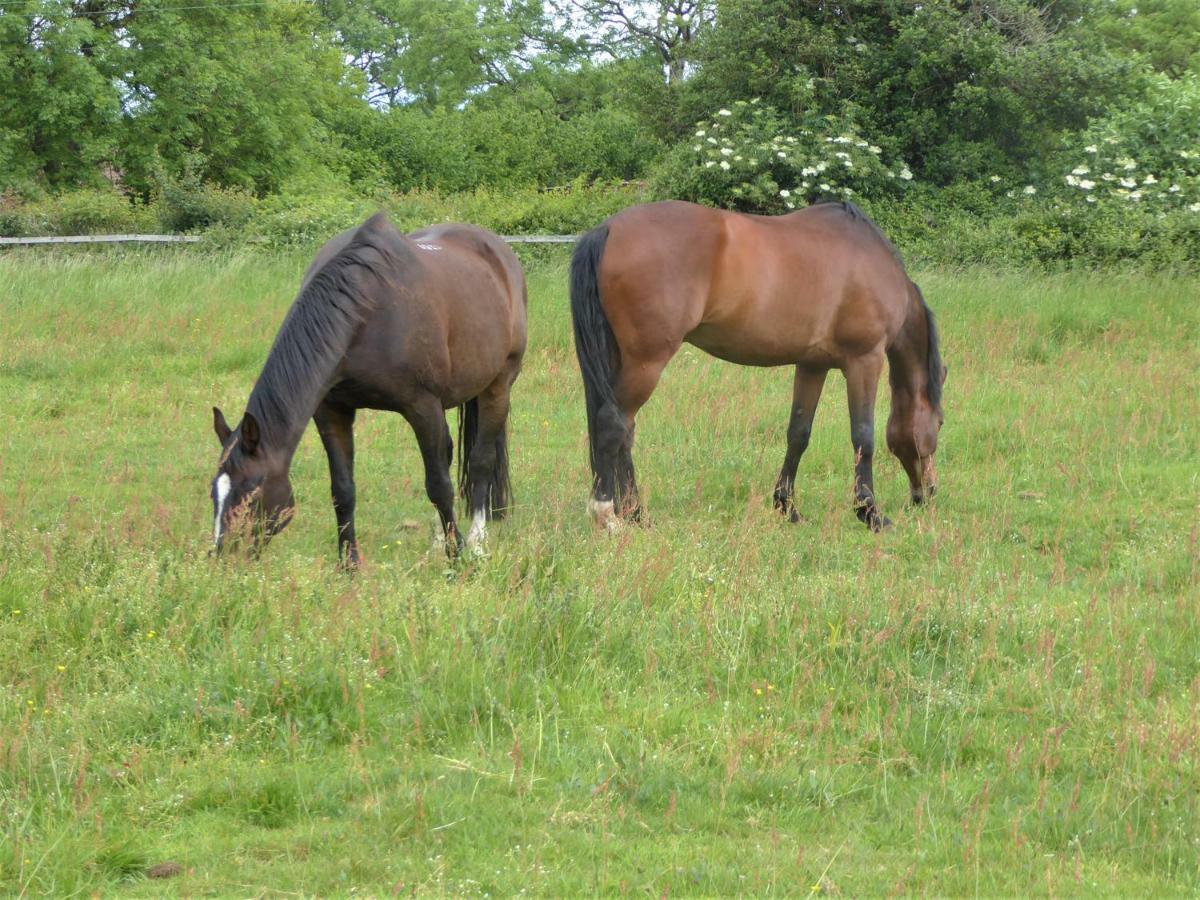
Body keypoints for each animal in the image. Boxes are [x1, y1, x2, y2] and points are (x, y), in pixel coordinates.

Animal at [210, 212, 525, 564]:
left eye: (252, 492)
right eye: (214, 494)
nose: (224, 556)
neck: (366, 309)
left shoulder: (423, 407)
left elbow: (439, 486)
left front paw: (456, 557)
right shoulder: (332, 411)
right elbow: (342, 490)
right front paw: (348, 563)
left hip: (498, 386)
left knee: (480, 461)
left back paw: (477, 542)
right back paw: (437, 539)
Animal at [571, 200, 945, 532]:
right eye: (940, 423)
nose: (927, 493)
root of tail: (608, 229)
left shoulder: (812, 365)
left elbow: (798, 434)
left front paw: (787, 508)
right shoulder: (864, 360)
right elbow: (863, 436)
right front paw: (870, 513)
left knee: (625, 432)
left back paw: (636, 514)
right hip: (646, 363)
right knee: (612, 425)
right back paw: (607, 516)